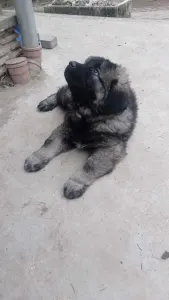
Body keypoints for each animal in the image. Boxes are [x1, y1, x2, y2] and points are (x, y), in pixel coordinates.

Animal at [24, 56, 138, 199]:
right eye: (86, 62)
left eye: (95, 71)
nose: (71, 63)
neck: (87, 115)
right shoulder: (65, 129)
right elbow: (50, 143)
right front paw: (36, 158)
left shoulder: (110, 148)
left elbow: (91, 165)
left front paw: (75, 183)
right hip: (68, 97)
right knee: (61, 92)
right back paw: (47, 102)